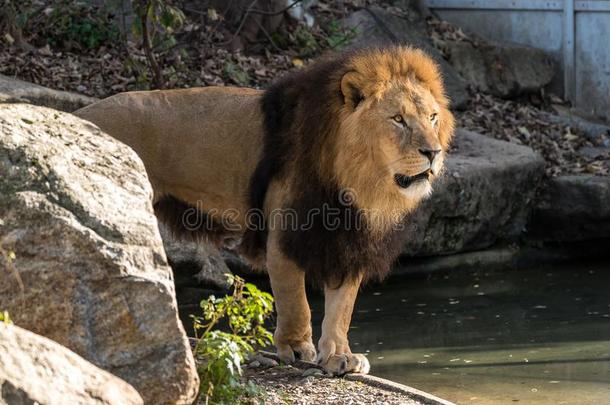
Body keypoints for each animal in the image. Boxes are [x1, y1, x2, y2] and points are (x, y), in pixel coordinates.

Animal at [75, 45, 452, 374]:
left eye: (432, 118)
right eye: (398, 119)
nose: (433, 153)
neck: (358, 183)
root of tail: (78, 116)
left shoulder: (347, 240)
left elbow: (341, 307)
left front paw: (339, 357)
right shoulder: (285, 234)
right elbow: (295, 301)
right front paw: (297, 349)